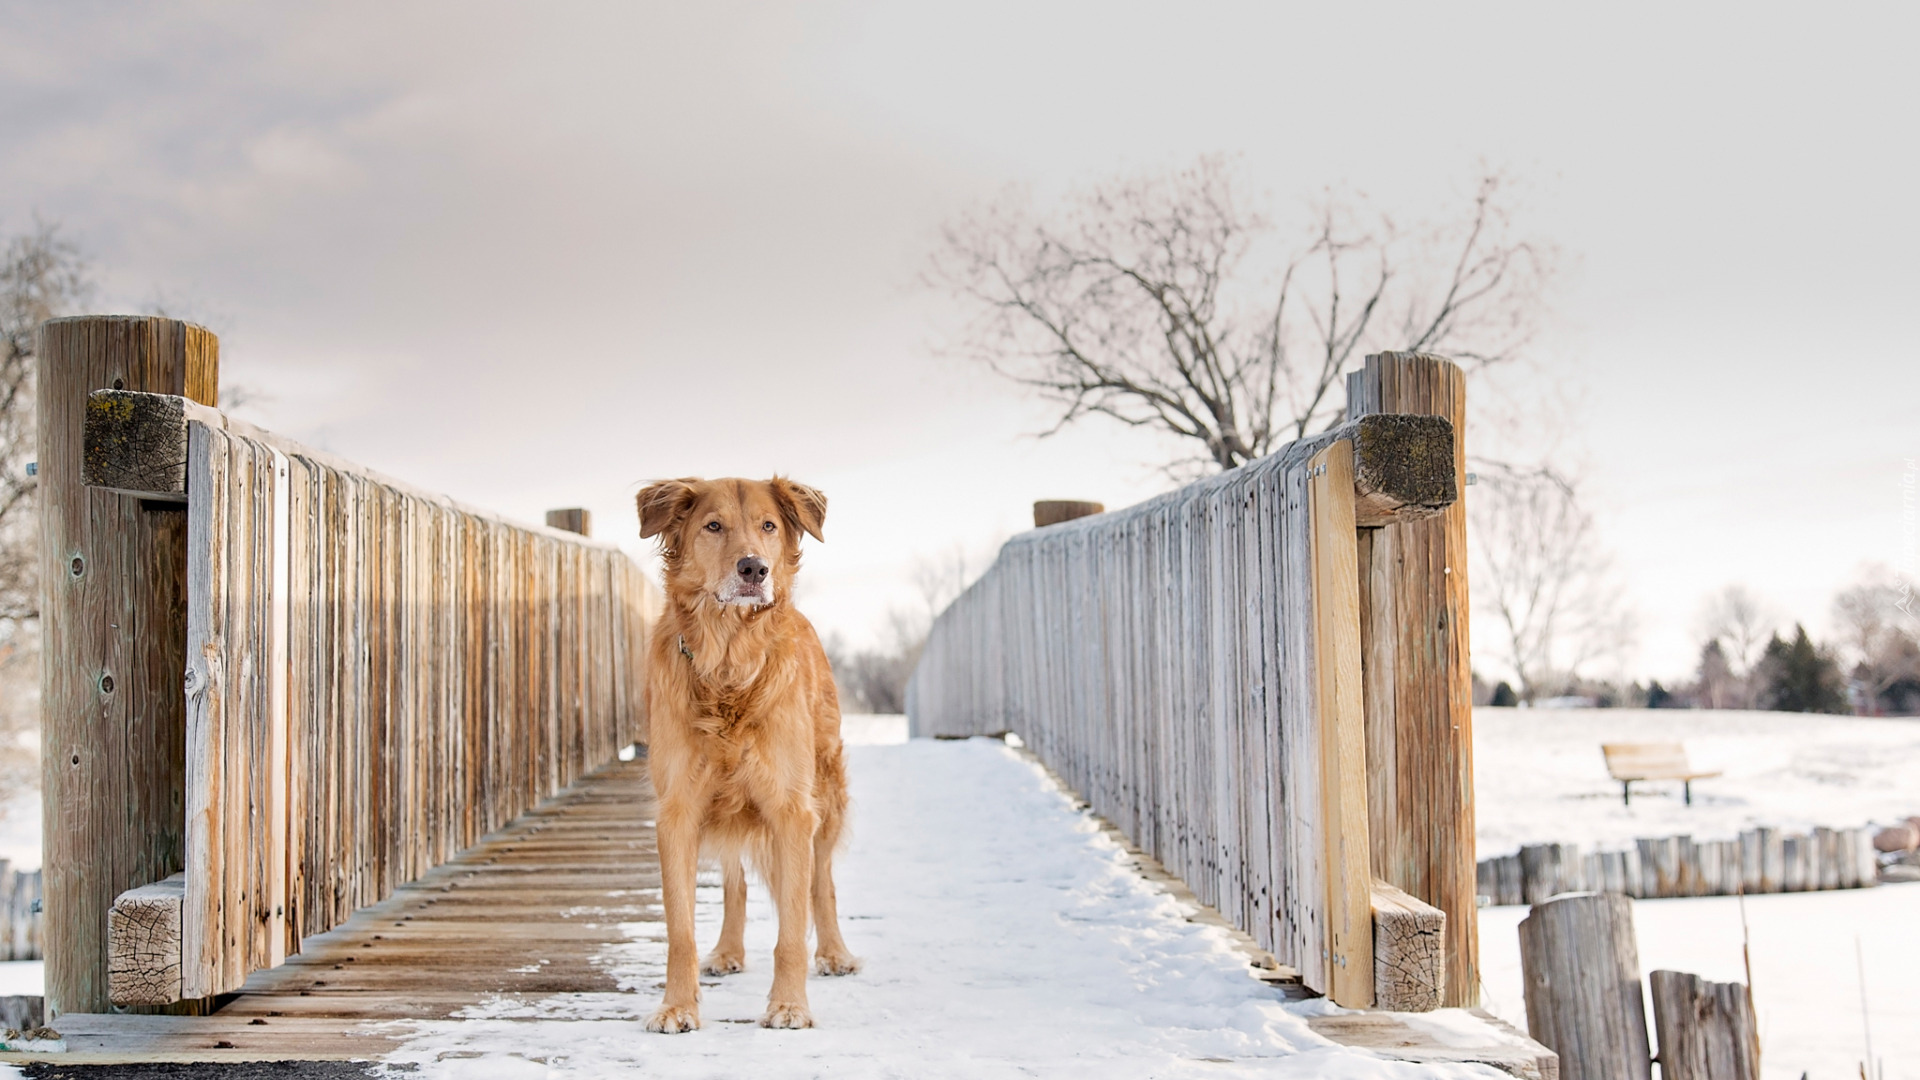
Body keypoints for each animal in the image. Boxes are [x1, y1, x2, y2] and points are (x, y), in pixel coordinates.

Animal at [633, 474, 860, 1030]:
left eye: (769, 526)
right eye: (713, 526)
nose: (754, 568)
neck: (730, 665)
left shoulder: (792, 809)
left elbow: (792, 929)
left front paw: (790, 1005)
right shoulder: (679, 811)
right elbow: (680, 930)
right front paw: (677, 1005)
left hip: (827, 794)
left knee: (822, 884)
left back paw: (835, 953)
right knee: (734, 880)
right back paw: (727, 951)